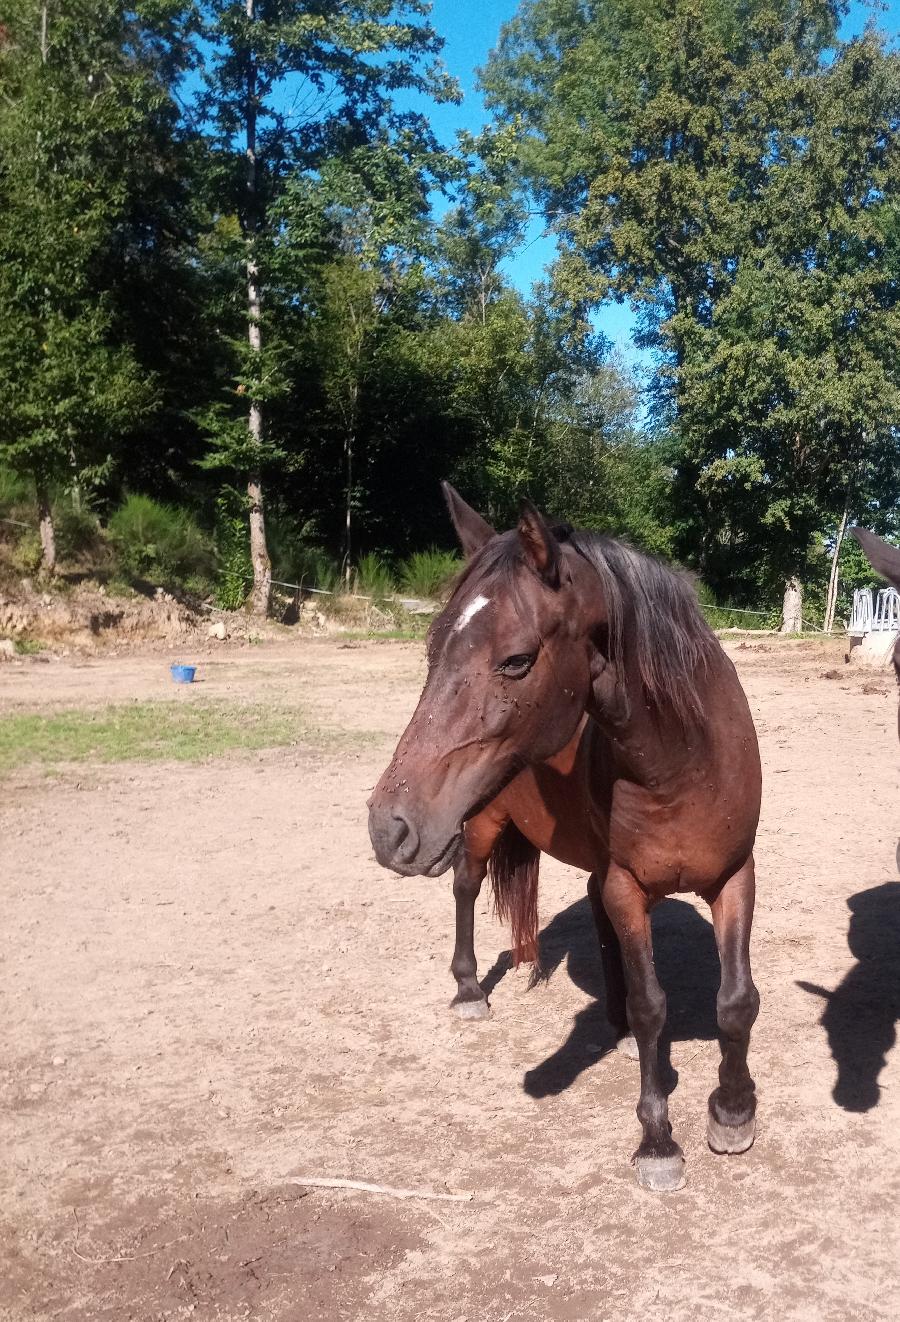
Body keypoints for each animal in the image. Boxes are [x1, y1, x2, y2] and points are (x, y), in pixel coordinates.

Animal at [367, 491, 761, 1195]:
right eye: (432, 649)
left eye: (516, 660)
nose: (389, 826)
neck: (683, 762)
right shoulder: (629, 884)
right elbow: (653, 1005)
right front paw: (658, 1141)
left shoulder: (734, 875)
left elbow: (736, 1000)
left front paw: (733, 1112)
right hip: (481, 827)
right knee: (466, 889)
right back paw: (469, 991)